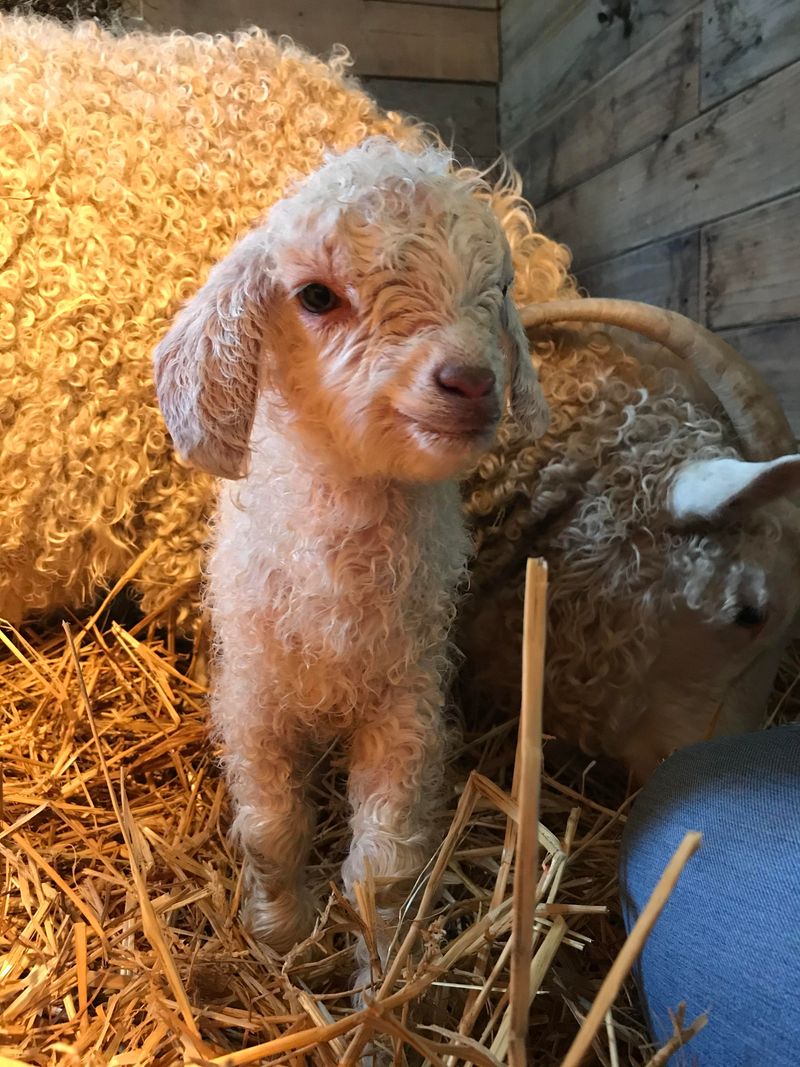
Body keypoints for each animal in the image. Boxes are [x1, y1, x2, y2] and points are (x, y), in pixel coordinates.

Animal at [153, 137, 550, 964]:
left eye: (497, 288)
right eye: (314, 297)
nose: (471, 381)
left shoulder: (406, 706)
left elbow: (383, 867)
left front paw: (378, 976)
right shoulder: (254, 699)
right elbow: (271, 830)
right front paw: (281, 934)